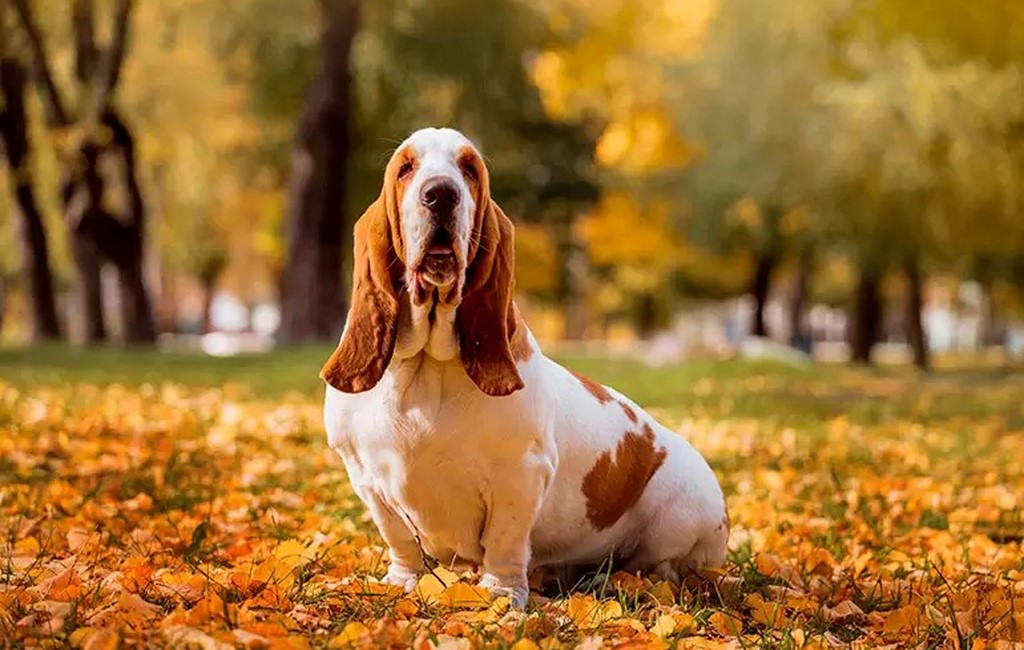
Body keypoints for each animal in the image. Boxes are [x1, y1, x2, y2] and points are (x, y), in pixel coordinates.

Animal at [319, 128, 729, 610]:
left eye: (469, 169)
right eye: (405, 168)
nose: (440, 193)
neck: (427, 365)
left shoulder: (520, 474)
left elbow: (504, 541)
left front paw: (501, 595)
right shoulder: (367, 478)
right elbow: (400, 540)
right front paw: (400, 584)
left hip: (683, 513)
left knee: (660, 569)